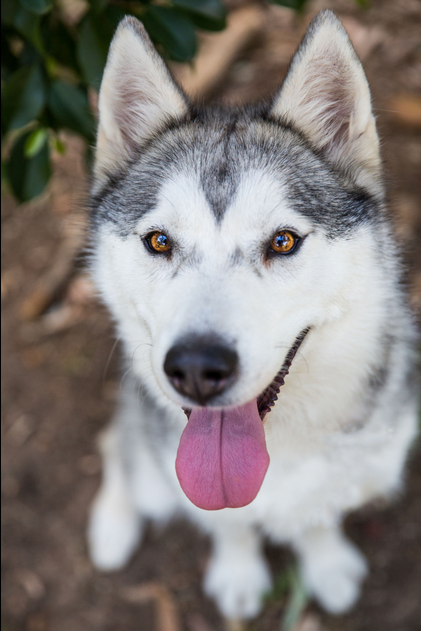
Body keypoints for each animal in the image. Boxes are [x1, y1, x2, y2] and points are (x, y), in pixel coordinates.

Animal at [88, 9, 416, 624]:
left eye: (282, 241)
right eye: (159, 241)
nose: (196, 367)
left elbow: (317, 514)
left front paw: (326, 563)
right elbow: (229, 525)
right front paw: (238, 571)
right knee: (116, 445)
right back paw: (113, 525)